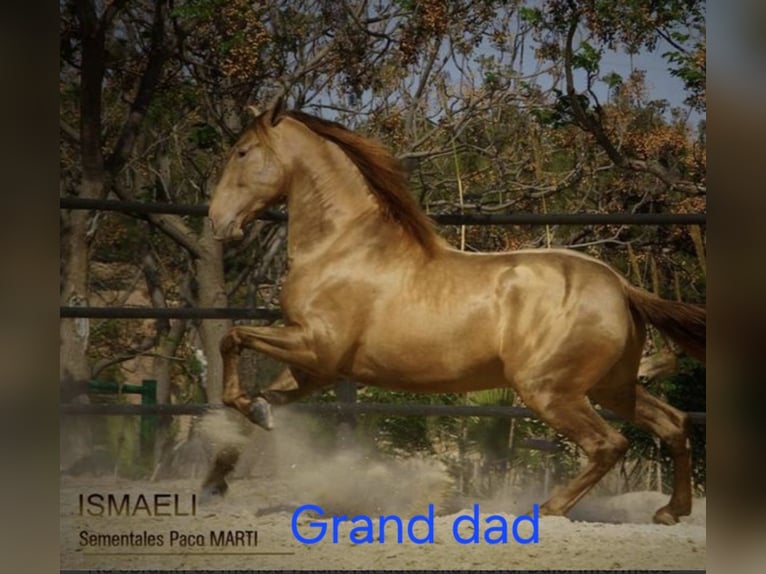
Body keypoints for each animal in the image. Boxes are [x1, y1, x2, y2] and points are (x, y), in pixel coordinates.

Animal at [205, 97, 705, 525]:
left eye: (242, 152)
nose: (217, 221)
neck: (342, 247)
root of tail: (619, 285)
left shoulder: (315, 346)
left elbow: (232, 339)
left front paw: (248, 411)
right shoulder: (316, 368)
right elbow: (252, 407)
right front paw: (217, 479)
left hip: (549, 390)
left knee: (608, 444)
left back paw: (549, 508)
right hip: (610, 385)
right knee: (674, 423)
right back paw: (670, 511)